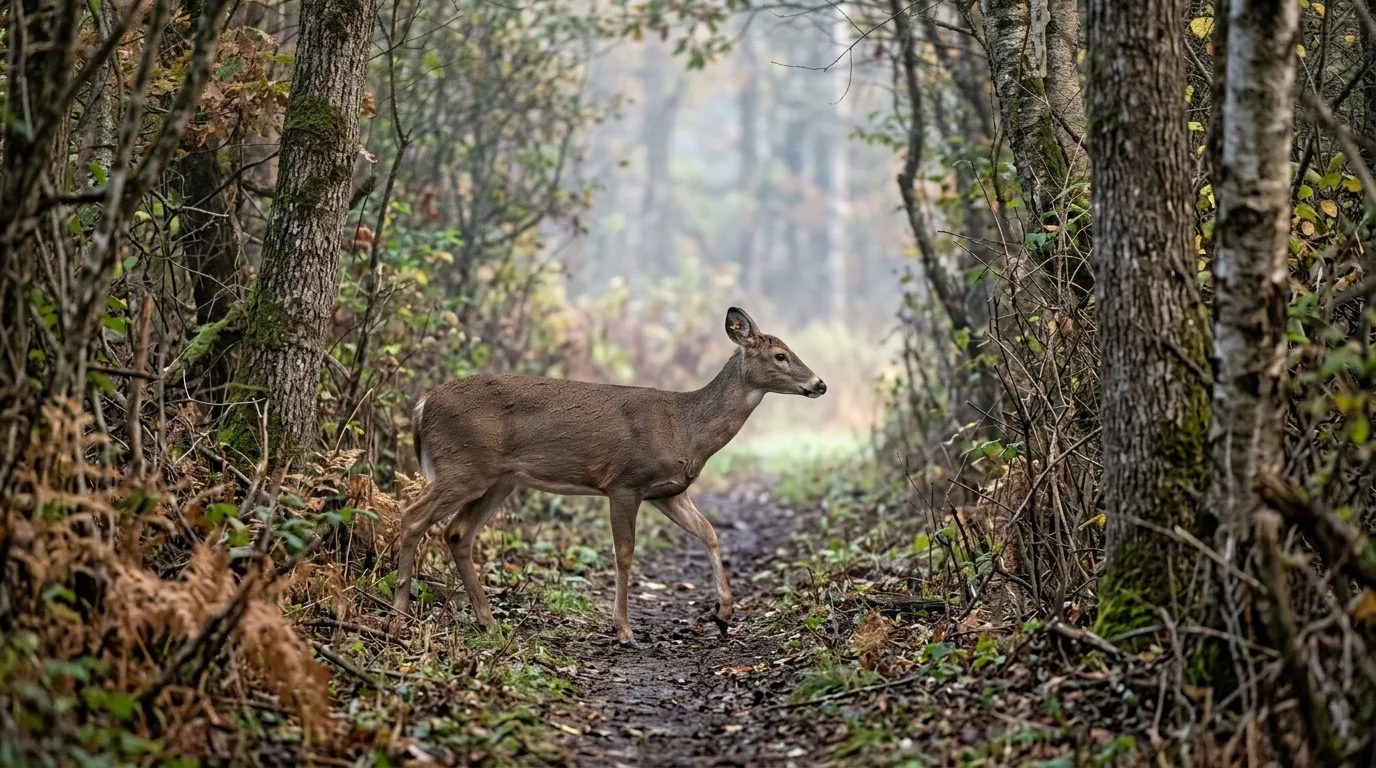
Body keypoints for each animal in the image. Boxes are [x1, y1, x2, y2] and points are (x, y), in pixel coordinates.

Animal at [391, 307, 827, 647]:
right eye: (780, 355)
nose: (819, 383)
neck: (686, 427)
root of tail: (422, 405)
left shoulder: (668, 491)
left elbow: (708, 532)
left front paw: (723, 614)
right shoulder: (624, 483)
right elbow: (625, 553)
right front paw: (624, 631)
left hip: (499, 479)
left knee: (457, 533)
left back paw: (488, 624)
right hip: (463, 465)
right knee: (411, 518)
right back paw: (398, 617)